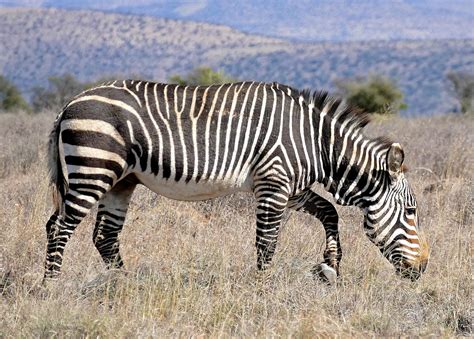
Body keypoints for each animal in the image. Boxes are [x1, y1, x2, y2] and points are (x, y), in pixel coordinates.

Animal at [43, 80, 430, 284]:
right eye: (411, 212)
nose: (423, 268)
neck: (318, 144)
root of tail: (69, 104)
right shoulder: (273, 184)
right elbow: (267, 243)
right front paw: (264, 289)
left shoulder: (292, 188)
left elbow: (329, 213)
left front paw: (329, 267)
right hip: (93, 169)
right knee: (59, 228)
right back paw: (52, 287)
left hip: (120, 181)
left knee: (103, 236)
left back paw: (125, 285)